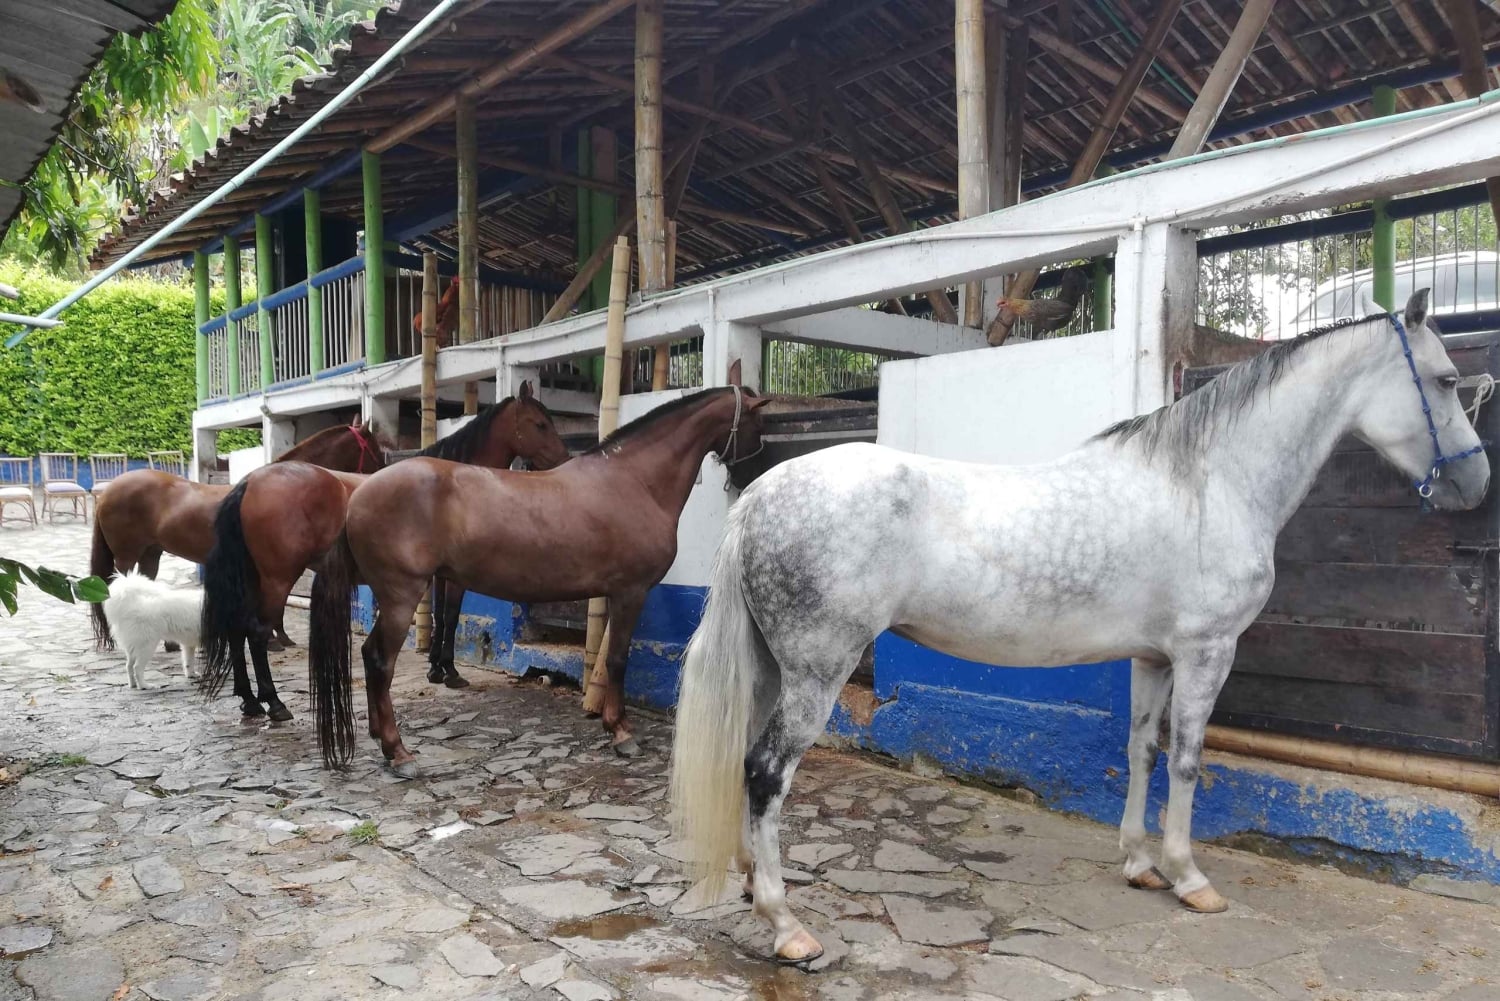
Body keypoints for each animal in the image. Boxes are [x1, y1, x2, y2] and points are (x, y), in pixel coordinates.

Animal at [90, 421, 389, 652]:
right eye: (375, 451)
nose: (380, 479)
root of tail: (108, 492)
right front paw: (274, 639)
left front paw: (280, 637)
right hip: (127, 556)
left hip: (151, 553)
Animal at [197, 384, 569, 721]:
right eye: (540, 424)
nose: (564, 461)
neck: (457, 484)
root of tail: (249, 484)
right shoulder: (455, 577)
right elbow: (450, 616)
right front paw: (450, 672)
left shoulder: (438, 575)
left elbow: (438, 616)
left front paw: (436, 668)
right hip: (277, 578)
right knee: (258, 632)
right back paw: (274, 703)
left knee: (238, 629)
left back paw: (250, 701)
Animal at [307, 385, 771, 776]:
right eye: (757, 424)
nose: (753, 478)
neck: (634, 481)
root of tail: (359, 494)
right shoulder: (630, 592)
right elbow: (617, 660)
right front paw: (621, 732)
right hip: (401, 596)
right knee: (378, 660)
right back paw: (398, 751)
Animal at [668, 290, 1490, 965]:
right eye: (1447, 380)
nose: (1475, 482)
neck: (1210, 483)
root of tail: (760, 496)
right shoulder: (1207, 652)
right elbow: (1189, 760)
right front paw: (1190, 877)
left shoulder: (1154, 659)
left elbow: (1142, 751)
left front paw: (1140, 864)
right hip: (818, 671)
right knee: (766, 771)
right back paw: (787, 925)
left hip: (772, 668)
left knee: (746, 760)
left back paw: (753, 884)